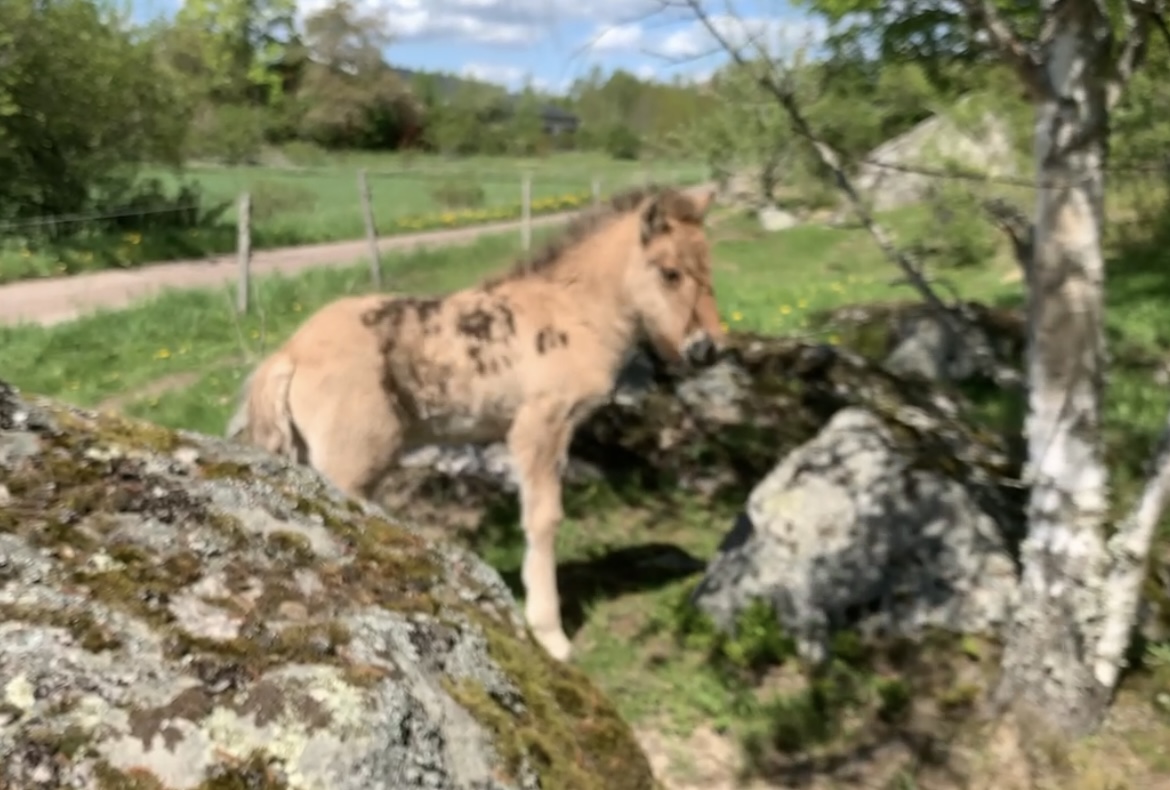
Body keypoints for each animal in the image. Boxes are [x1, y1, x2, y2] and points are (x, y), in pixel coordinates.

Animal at [226, 183, 727, 661]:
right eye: (670, 272)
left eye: (709, 265)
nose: (708, 349)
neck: (572, 311)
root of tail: (288, 354)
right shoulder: (541, 426)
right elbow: (544, 518)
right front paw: (550, 635)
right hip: (350, 464)